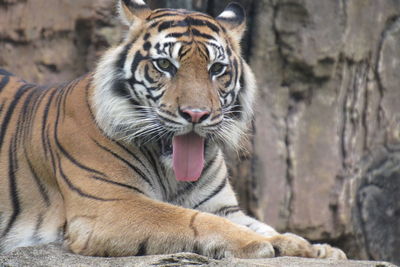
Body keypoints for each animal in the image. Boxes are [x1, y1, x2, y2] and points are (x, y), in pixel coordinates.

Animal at [0, 0, 346, 260]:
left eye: (217, 69)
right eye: (165, 65)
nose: (196, 114)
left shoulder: (223, 206)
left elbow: (261, 225)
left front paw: (315, 248)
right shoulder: (111, 205)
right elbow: (191, 220)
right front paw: (258, 244)